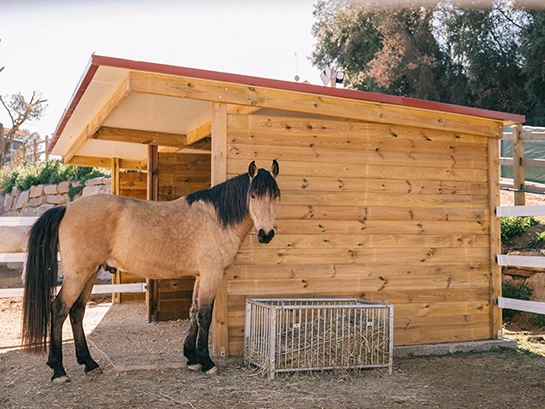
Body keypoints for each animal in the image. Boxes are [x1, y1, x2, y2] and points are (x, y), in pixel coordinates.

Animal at [21, 160, 280, 382]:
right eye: (253, 195)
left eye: (276, 195)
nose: (266, 234)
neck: (215, 219)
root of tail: (66, 208)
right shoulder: (211, 275)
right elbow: (204, 316)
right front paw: (206, 362)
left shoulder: (200, 276)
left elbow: (193, 311)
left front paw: (191, 358)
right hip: (78, 275)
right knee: (59, 309)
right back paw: (59, 369)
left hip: (89, 274)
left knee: (77, 311)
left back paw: (89, 363)